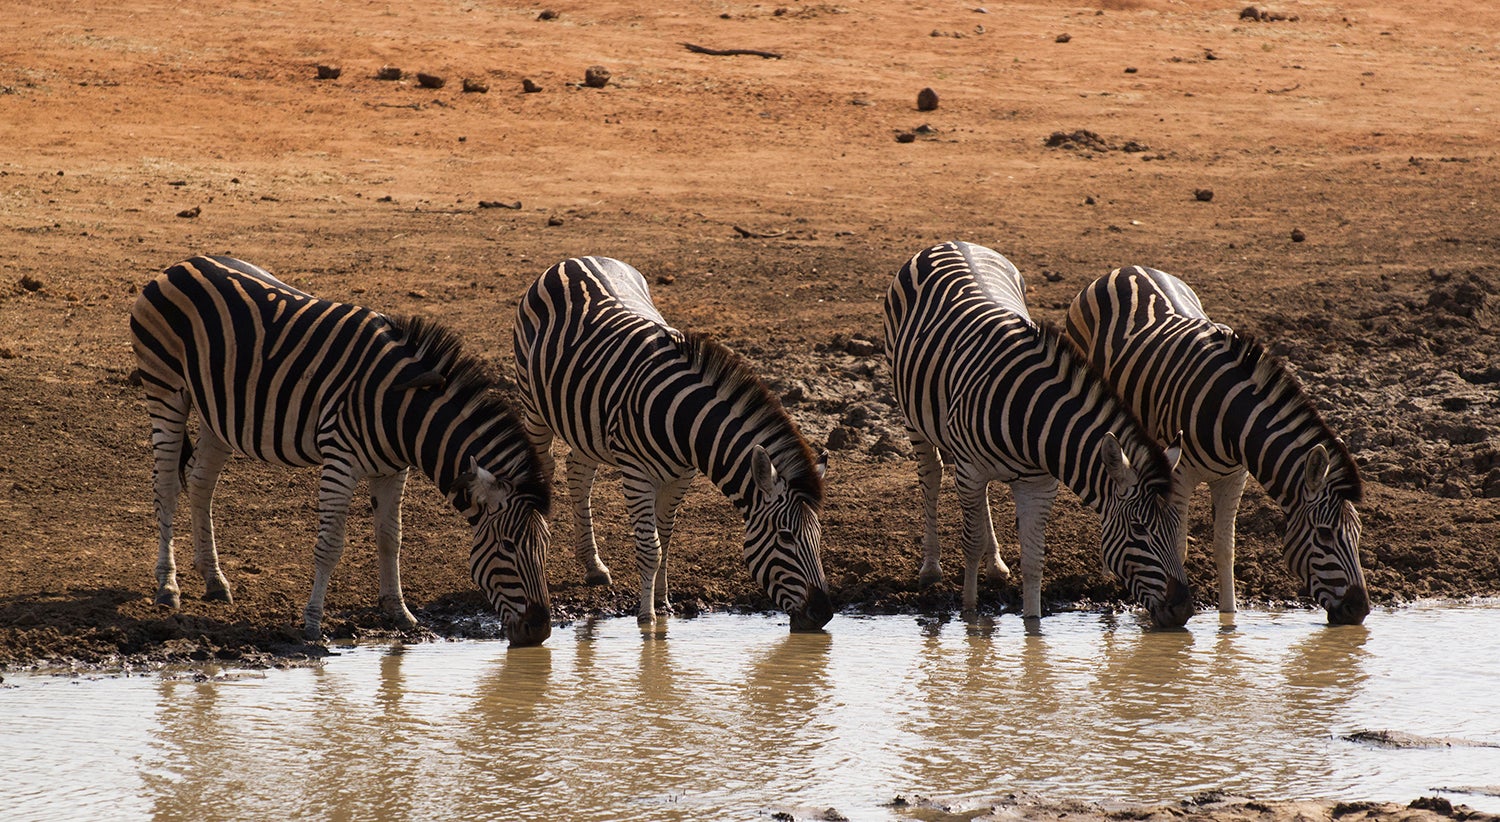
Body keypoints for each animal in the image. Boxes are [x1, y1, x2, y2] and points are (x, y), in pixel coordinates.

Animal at [129, 255, 554, 644]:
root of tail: (181, 264)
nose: (540, 632)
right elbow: (330, 546)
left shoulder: (393, 469)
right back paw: (168, 588)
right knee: (166, 487)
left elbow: (391, 538)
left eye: (546, 546)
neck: (402, 408)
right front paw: (313, 623)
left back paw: (215, 580)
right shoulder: (341, 460)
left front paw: (399, 611)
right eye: (508, 546)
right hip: (165, 389)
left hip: (218, 412)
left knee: (201, 483)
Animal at [512, 256, 834, 631]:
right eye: (785, 537)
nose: (824, 613)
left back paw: (594, 566)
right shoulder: (637, 475)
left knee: (578, 472)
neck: (684, 423)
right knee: (545, 464)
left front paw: (664, 604)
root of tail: (576, 259)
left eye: (818, 535)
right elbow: (650, 546)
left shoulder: (682, 475)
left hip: (584, 420)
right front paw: (646, 619)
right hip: (533, 403)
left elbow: (665, 538)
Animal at [882, 241, 1194, 627]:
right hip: (912, 412)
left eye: (1176, 526)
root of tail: (954, 242)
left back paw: (996, 565)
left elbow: (1033, 560)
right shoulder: (970, 471)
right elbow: (970, 545)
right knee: (932, 473)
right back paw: (930, 567)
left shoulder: (1038, 486)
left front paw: (1033, 625)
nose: (1183, 609)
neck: (1031, 421)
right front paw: (970, 617)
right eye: (1139, 529)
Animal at [1065, 265, 1369, 625]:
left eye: (1358, 532)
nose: (1360, 610)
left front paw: (1229, 620)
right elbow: (1175, 545)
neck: (1230, 417)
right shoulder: (1179, 475)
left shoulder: (1234, 477)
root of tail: (1127, 268)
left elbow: (1225, 547)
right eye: (1324, 534)